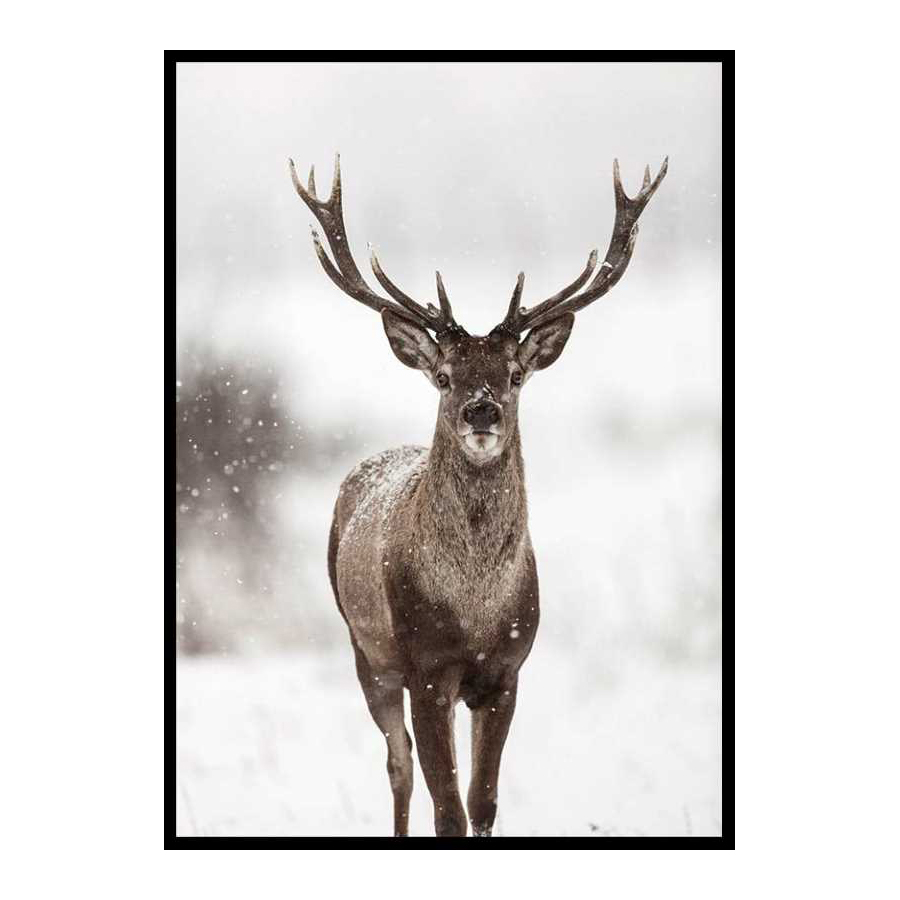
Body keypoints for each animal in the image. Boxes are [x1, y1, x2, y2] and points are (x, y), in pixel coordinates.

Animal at [289, 153, 667, 837]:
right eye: (444, 376)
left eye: (515, 375)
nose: (482, 410)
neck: (474, 608)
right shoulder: (425, 668)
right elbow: (448, 809)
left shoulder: (507, 671)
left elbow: (483, 802)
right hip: (364, 649)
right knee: (398, 765)